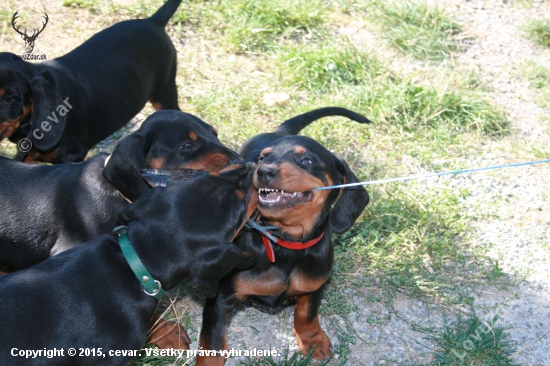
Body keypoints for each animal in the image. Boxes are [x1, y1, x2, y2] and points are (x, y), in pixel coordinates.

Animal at [198, 113, 370, 364]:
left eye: (306, 160)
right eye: (263, 157)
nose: (263, 171)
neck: (286, 243)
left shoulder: (314, 286)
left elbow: (307, 313)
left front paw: (312, 338)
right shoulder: (220, 297)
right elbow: (212, 342)